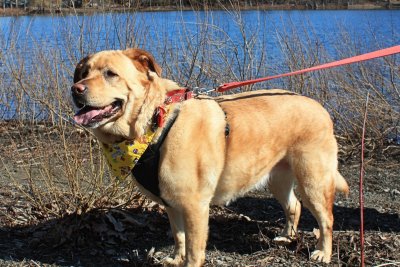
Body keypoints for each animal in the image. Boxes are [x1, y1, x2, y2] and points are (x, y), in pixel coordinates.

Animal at [71, 48, 346, 267]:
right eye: (83, 72)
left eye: (110, 74)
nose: (75, 89)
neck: (155, 123)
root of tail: (320, 107)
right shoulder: (171, 203)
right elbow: (179, 237)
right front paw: (176, 259)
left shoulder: (194, 206)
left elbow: (194, 250)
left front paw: (187, 261)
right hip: (277, 178)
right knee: (294, 206)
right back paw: (287, 236)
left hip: (313, 182)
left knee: (327, 219)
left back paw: (323, 252)